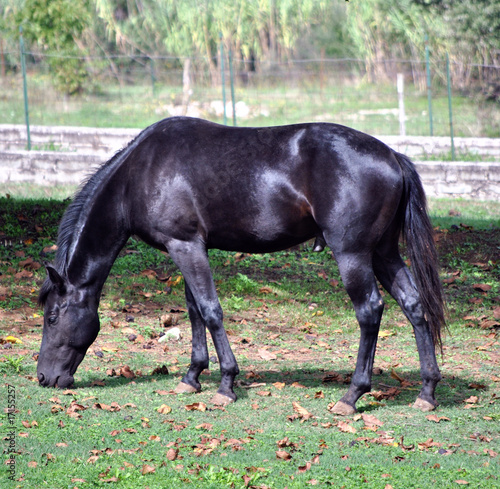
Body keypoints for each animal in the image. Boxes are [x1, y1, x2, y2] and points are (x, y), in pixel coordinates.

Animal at [39, 116, 446, 414]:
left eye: (52, 317)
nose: (44, 377)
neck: (139, 172)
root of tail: (393, 157)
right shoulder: (188, 248)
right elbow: (194, 310)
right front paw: (191, 376)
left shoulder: (186, 246)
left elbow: (211, 311)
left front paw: (226, 384)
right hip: (384, 253)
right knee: (413, 305)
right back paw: (426, 392)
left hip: (353, 255)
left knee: (369, 311)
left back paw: (352, 395)